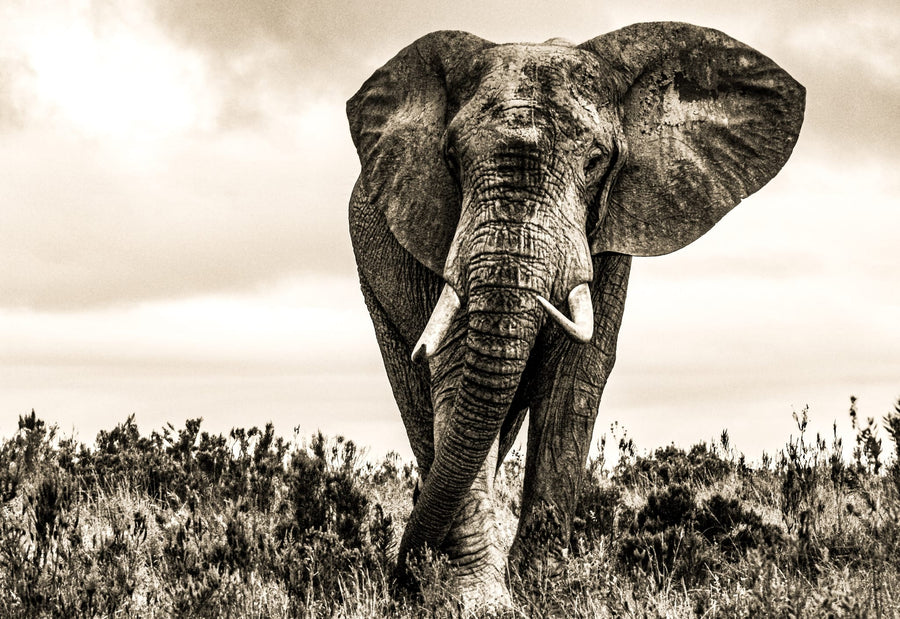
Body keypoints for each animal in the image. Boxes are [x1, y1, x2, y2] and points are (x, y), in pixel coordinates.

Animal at [346, 22, 804, 606]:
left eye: (595, 161)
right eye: (451, 158)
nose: (399, 574)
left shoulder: (613, 237)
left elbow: (574, 377)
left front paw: (545, 587)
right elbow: (452, 374)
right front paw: (481, 600)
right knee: (423, 405)